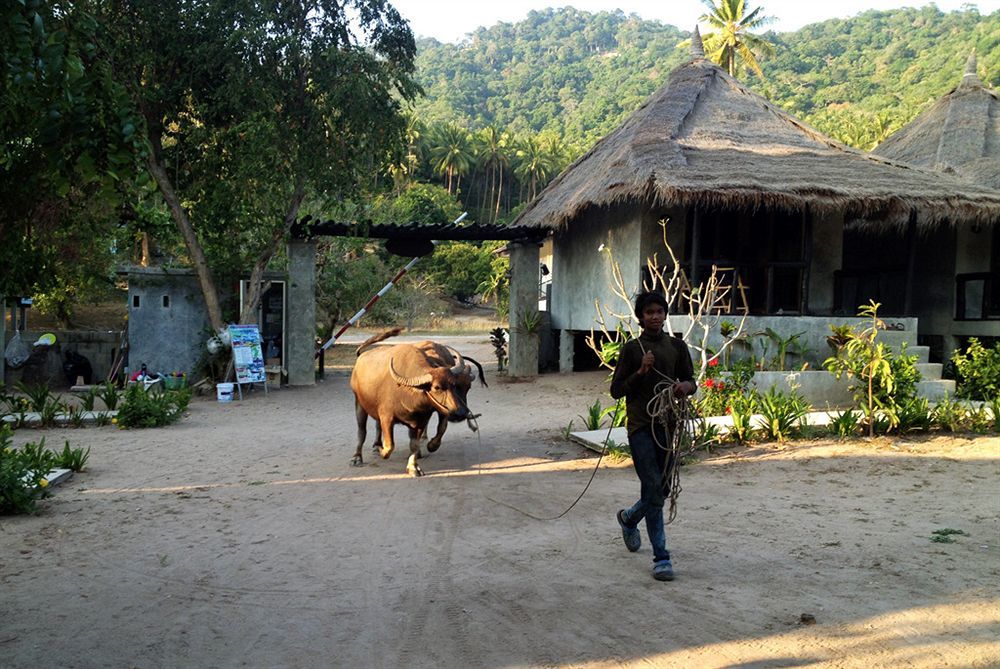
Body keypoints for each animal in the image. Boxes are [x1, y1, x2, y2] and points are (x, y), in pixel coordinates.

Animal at [354, 328, 486, 474]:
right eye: (437, 387)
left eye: (457, 385)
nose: (461, 413)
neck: (408, 391)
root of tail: (360, 358)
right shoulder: (387, 417)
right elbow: (389, 446)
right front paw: (382, 450)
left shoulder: (422, 419)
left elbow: (418, 442)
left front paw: (414, 465)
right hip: (359, 403)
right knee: (361, 431)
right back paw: (358, 457)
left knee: (377, 425)